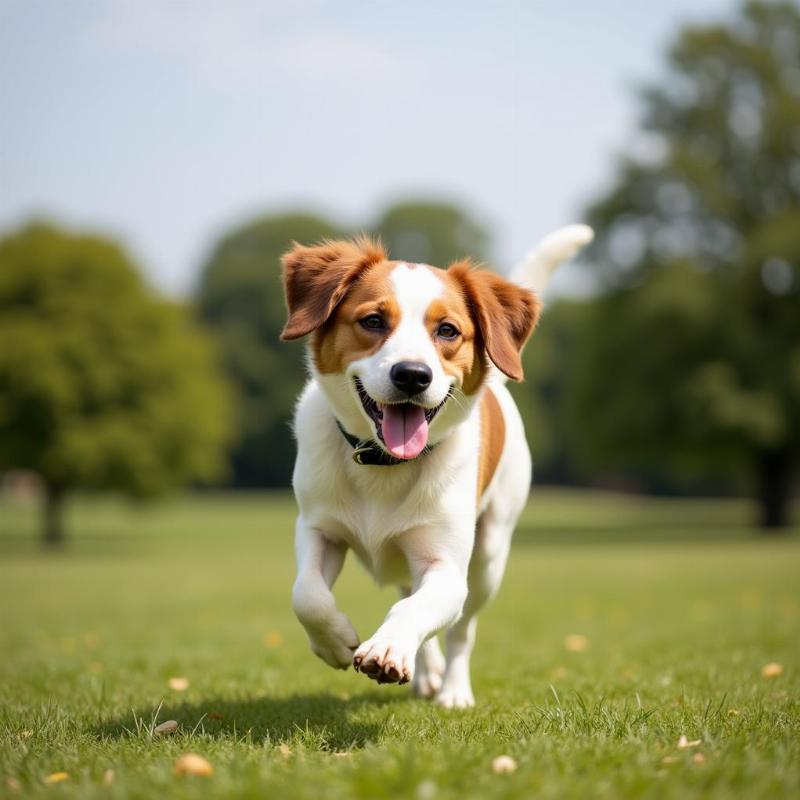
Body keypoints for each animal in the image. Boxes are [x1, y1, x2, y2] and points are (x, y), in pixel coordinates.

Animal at [278, 225, 592, 708]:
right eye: (373, 321)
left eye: (447, 330)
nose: (412, 374)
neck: (384, 464)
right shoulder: (318, 528)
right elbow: (306, 594)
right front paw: (334, 641)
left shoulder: (446, 567)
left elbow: (418, 609)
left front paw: (389, 646)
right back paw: (427, 673)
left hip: (488, 558)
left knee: (462, 629)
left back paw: (452, 689)